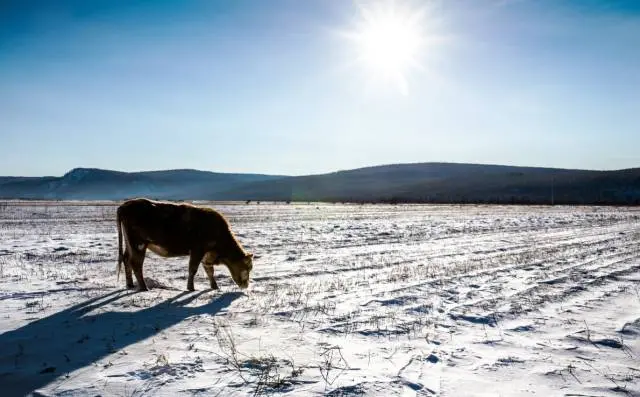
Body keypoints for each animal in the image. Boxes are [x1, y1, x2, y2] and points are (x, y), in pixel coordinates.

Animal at [116, 197, 254, 290]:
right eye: (248, 267)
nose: (246, 285)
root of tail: (124, 206)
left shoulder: (207, 255)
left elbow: (209, 271)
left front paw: (214, 286)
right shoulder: (198, 250)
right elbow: (193, 269)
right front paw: (191, 288)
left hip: (129, 244)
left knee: (126, 259)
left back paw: (130, 284)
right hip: (138, 244)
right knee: (136, 264)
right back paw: (144, 287)